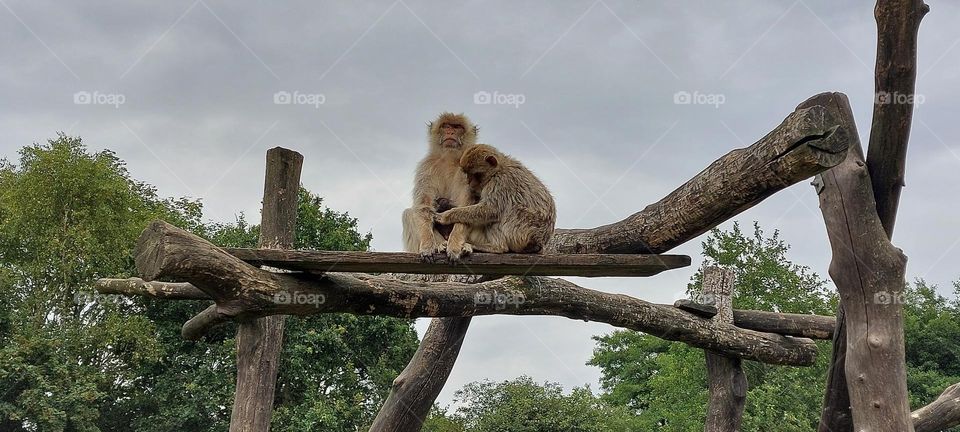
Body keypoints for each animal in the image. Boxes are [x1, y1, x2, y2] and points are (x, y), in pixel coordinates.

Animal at [402, 113, 480, 258]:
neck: (449, 157)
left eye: (457, 127)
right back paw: (440, 244)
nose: (450, 132)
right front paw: (428, 246)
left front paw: (455, 246)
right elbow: (423, 206)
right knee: (409, 213)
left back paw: (467, 245)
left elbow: (467, 208)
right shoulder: (426, 166)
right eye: (446, 126)